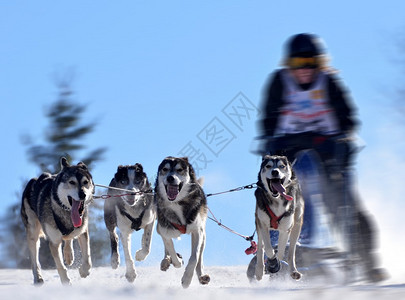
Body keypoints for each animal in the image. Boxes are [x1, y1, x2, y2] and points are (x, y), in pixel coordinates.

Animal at [155, 157, 210, 288]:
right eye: (165, 169)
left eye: (179, 169)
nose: (170, 178)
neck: (177, 203)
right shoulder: (165, 232)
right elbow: (172, 253)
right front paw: (177, 260)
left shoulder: (197, 232)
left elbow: (194, 257)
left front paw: (187, 279)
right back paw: (166, 261)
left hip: (203, 235)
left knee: (199, 257)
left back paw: (202, 276)